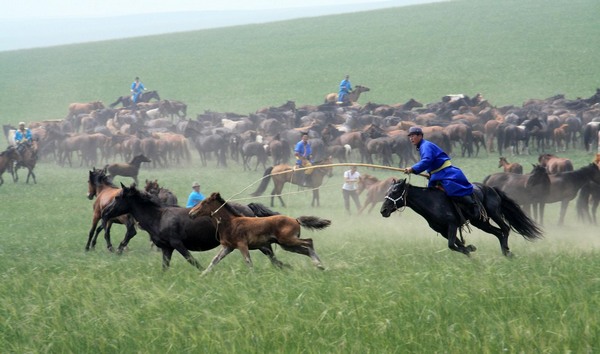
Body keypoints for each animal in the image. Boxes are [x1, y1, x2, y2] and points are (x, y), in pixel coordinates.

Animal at [190, 192, 330, 276]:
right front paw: (203, 274)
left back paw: (319, 264)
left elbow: (248, 261)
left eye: (204, 203)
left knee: (309, 242)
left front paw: (253, 277)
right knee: (306, 249)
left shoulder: (242, 245)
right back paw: (319, 266)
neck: (230, 222)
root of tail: (295, 219)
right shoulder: (228, 247)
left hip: (288, 240)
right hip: (287, 245)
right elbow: (215, 260)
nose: (191, 213)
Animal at [380, 180, 544, 258]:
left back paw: (507, 251)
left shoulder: (452, 225)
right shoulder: (443, 230)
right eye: (388, 191)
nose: (383, 211)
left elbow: (452, 245)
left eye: (395, 191)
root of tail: (491, 188)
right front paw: (470, 250)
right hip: (480, 222)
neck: (431, 201)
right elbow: (456, 245)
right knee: (498, 232)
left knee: (505, 229)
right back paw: (506, 252)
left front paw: (470, 248)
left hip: (494, 214)